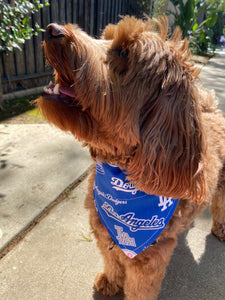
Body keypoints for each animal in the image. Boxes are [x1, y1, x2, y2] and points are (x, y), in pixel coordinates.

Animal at [37, 16, 225, 300]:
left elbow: (139, 288)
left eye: (124, 52)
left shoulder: (149, 259)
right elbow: (112, 260)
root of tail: (210, 109)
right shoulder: (104, 230)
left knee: (220, 206)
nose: (52, 30)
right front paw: (110, 280)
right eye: (105, 36)